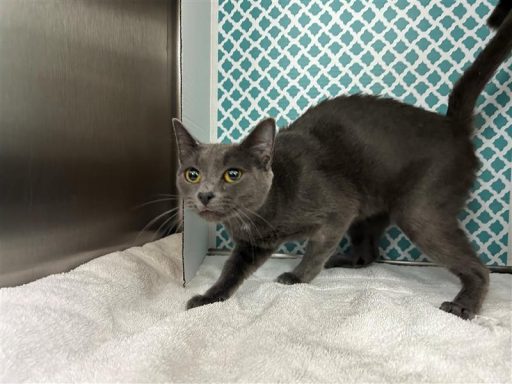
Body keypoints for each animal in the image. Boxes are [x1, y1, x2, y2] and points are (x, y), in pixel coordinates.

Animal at [173, 4, 512, 320]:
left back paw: (463, 305)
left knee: (479, 268)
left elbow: (316, 250)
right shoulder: (253, 244)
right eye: (192, 174)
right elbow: (231, 271)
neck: (262, 213)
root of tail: (452, 125)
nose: (205, 194)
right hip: (371, 207)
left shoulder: (339, 211)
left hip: (419, 209)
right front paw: (207, 299)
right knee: (369, 252)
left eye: (232, 174)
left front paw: (296, 277)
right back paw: (347, 260)